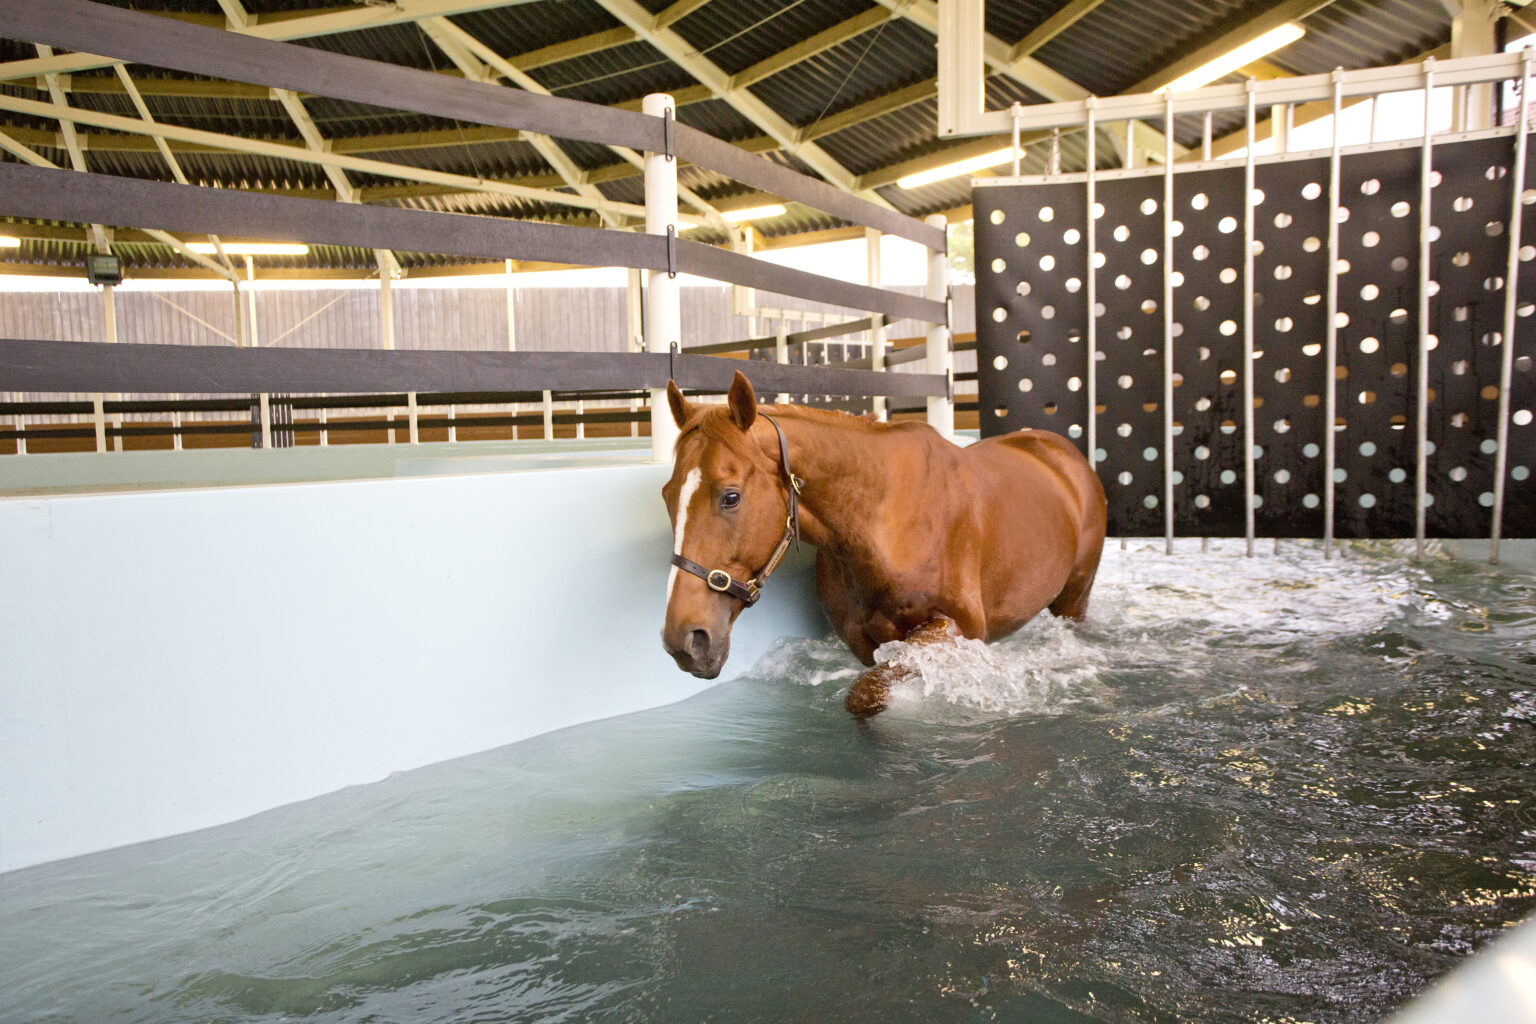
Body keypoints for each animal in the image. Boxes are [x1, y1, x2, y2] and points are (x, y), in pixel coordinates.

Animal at [660, 370, 1107, 716]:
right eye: (667, 495)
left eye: (731, 496)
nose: (685, 641)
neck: (884, 523)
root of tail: (1062, 451)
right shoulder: (865, 642)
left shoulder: (959, 628)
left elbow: (865, 696)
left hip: (1074, 598)